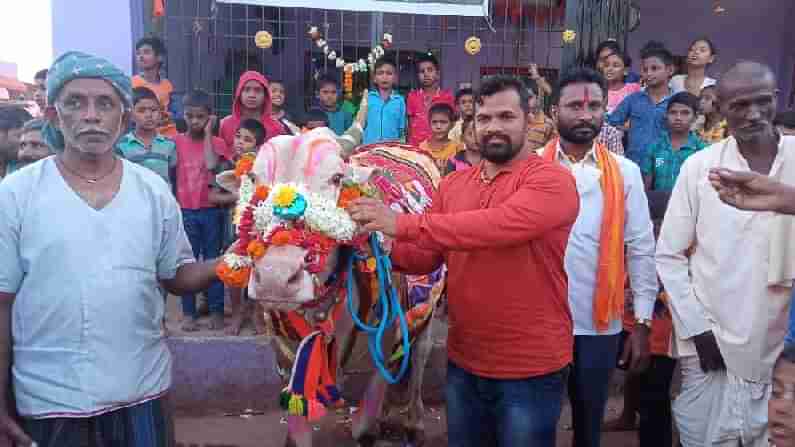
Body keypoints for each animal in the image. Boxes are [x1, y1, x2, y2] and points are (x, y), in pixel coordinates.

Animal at [215, 128, 444, 446]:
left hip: (428, 310)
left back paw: (414, 423)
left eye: (337, 178)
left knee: (419, 359)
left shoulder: (380, 354)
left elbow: (364, 427)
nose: (276, 278)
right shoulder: (286, 358)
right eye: (253, 178)